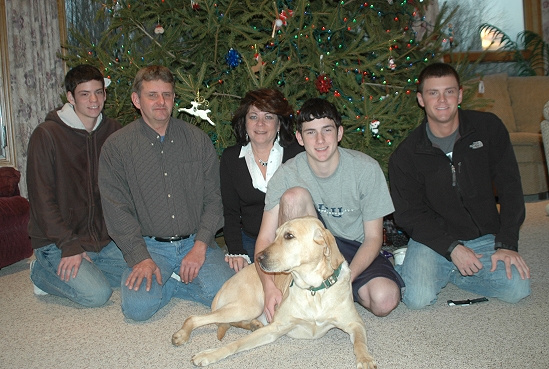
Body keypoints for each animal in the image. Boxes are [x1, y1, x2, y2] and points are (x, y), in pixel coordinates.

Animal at [171, 216, 376, 368]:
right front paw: (210, 354)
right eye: (276, 234)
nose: (258, 257)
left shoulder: (355, 324)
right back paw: (182, 334)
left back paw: (253, 324)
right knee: (195, 318)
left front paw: (365, 359)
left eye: (289, 236)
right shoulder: (276, 327)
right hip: (248, 306)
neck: (314, 291)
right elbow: (236, 344)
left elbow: (360, 343)